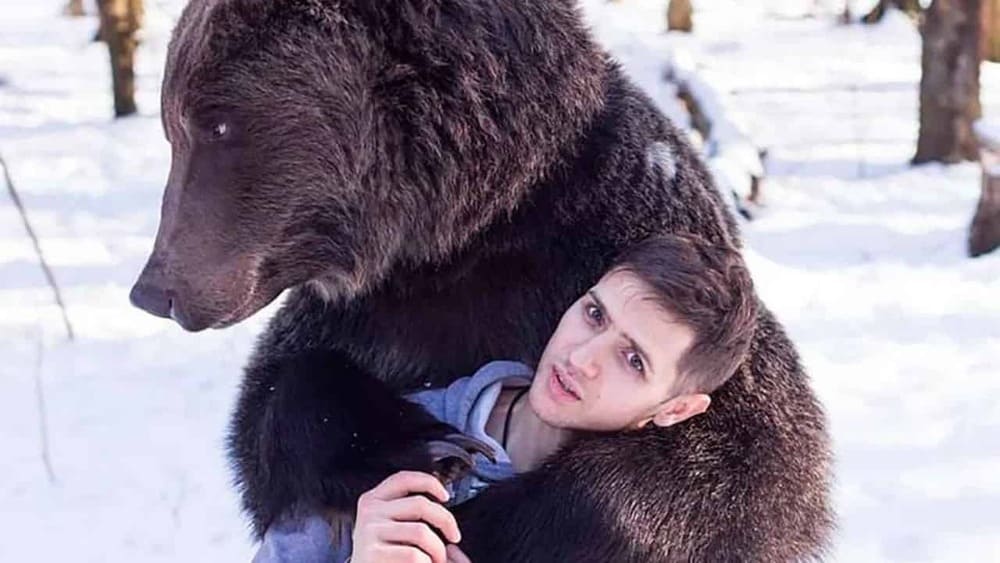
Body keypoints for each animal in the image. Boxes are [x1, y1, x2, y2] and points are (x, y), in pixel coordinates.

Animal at [129, 0, 834, 560]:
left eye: (217, 124)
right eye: (173, 122)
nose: (154, 291)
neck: (461, 228)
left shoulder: (620, 229)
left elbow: (754, 459)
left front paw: (477, 517)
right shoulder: (381, 308)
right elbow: (276, 396)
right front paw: (427, 447)